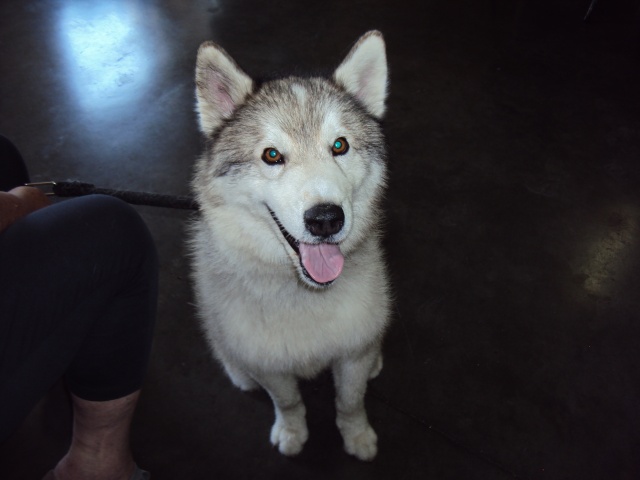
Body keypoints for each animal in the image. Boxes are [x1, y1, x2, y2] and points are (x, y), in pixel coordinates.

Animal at [190, 31, 390, 462]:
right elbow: (288, 402)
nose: (326, 219)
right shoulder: (270, 365)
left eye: (339, 145)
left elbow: (351, 401)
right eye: (272, 155)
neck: (304, 295)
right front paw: (292, 431)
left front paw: (357, 436)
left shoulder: (352, 354)